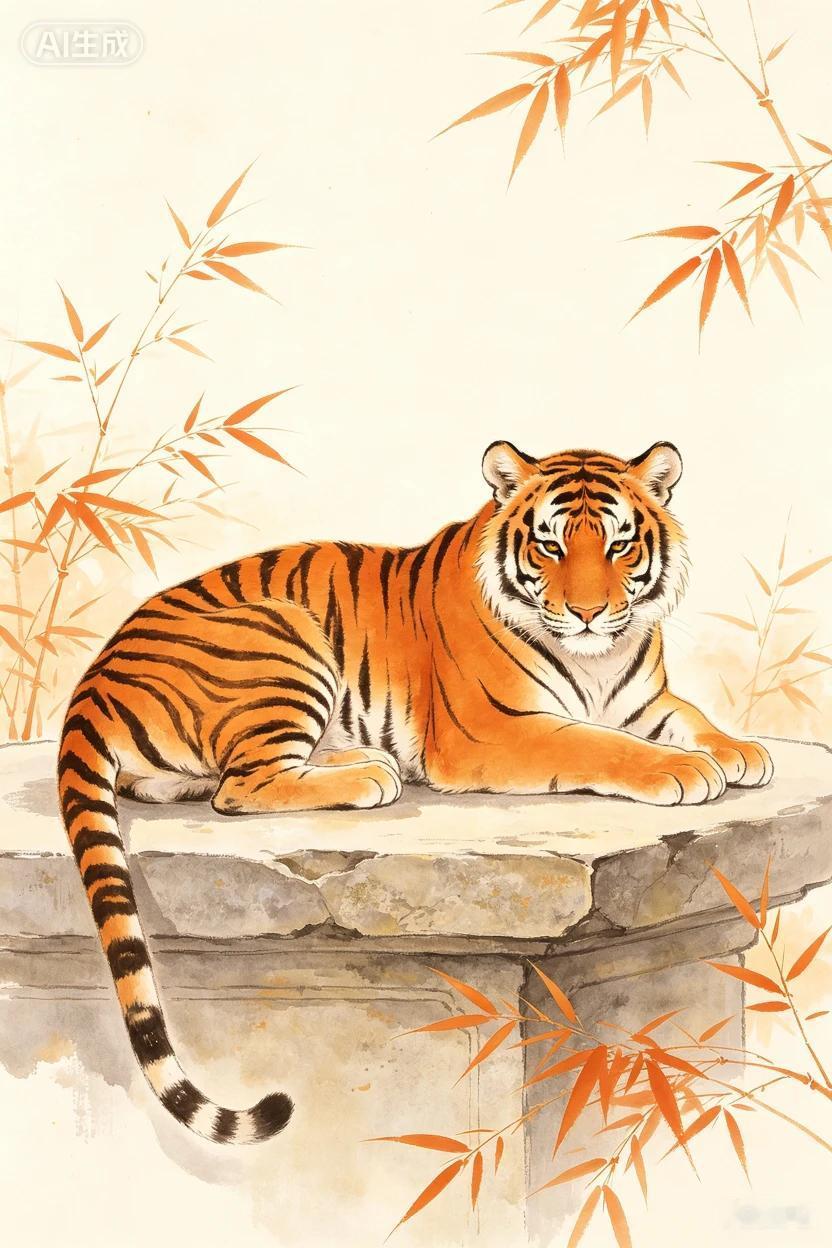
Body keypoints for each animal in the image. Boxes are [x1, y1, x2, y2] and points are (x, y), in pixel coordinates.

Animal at [57, 439, 773, 1143]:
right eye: (550, 546)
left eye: (620, 544)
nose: (589, 614)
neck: (598, 661)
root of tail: (92, 679)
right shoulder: (493, 732)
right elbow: (597, 744)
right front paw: (684, 770)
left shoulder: (640, 699)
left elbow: (686, 715)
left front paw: (742, 752)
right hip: (283, 635)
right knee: (242, 786)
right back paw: (371, 774)